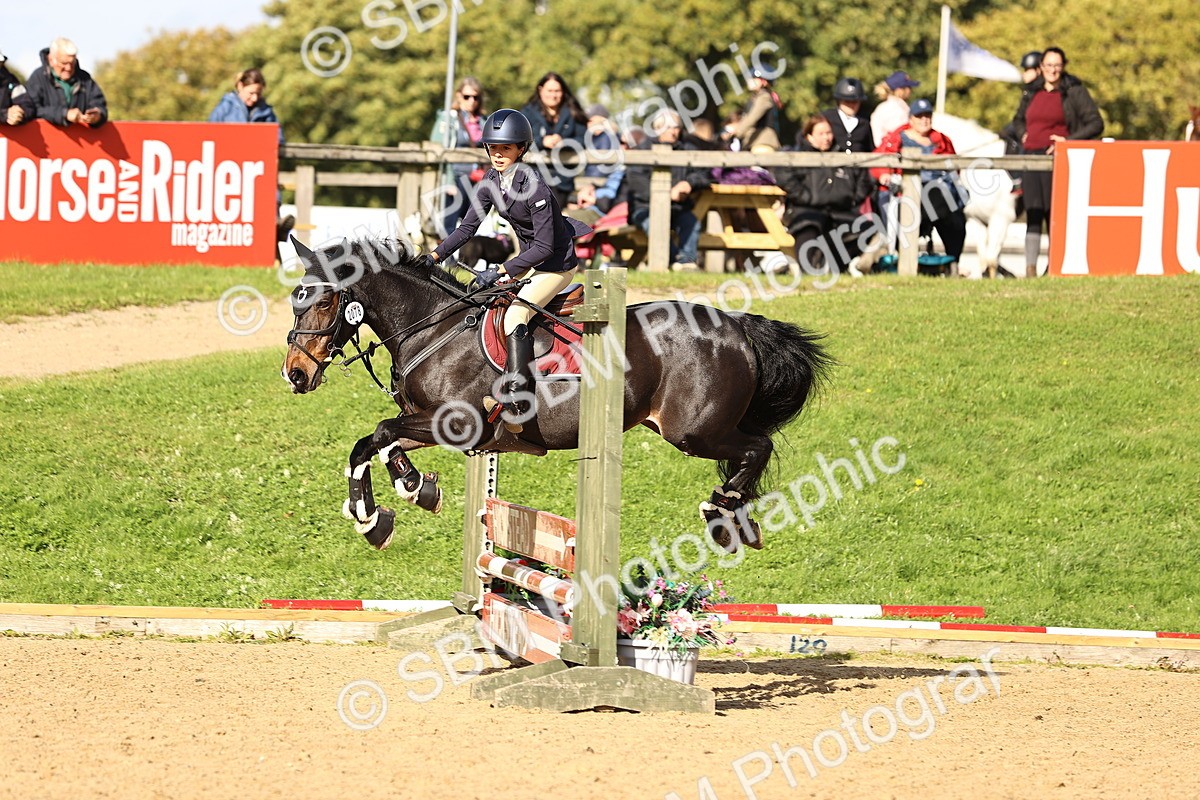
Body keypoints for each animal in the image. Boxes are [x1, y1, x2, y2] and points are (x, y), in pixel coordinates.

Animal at [282, 238, 832, 554]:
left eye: (326, 301)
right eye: (295, 300)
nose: (295, 374)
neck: (432, 327)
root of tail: (737, 326)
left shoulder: (460, 424)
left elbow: (380, 434)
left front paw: (393, 503)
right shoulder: (431, 423)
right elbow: (373, 444)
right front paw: (390, 506)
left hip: (693, 431)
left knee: (757, 447)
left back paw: (722, 514)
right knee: (752, 450)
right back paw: (736, 519)